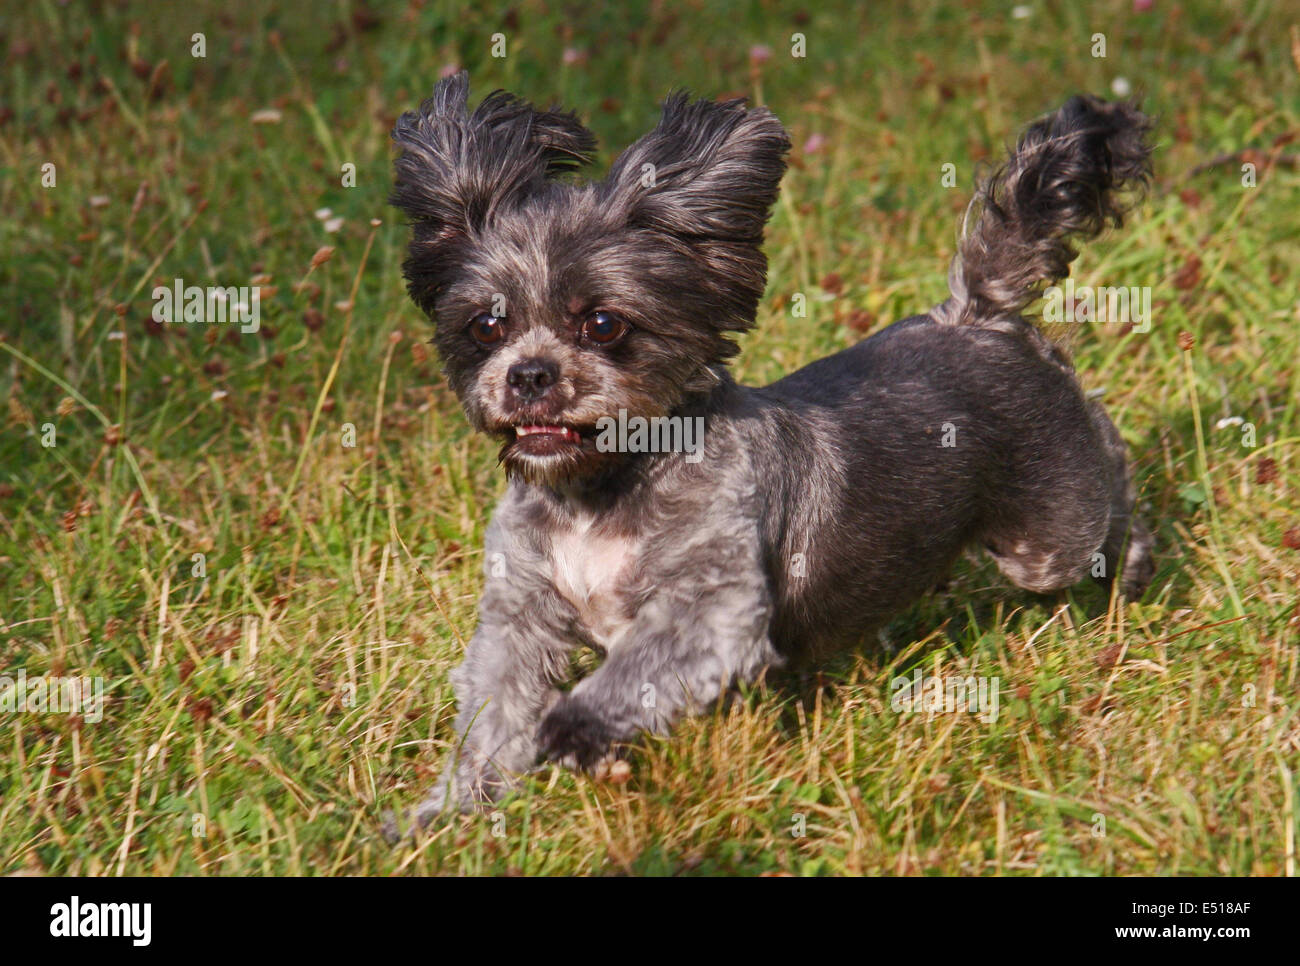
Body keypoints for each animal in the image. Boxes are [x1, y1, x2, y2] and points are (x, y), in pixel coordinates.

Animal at [379, 73, 1154, 832]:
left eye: (602, 324)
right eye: (485, 327)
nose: (530, 374)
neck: (600, 495)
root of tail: (976, 313)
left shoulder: (713, 606)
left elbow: (635, 670)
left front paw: (576, 726)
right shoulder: (519, 616)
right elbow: (495, 712)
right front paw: (449, 811)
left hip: (1047, 534)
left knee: (1106, 470)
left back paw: (1137, 558)